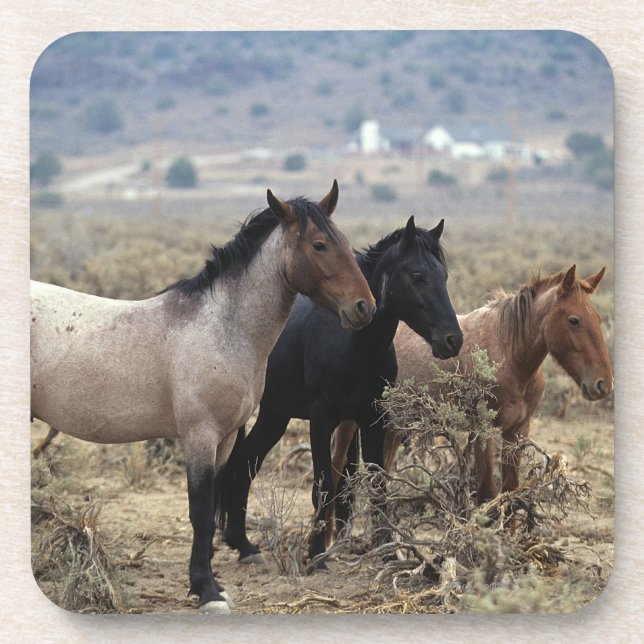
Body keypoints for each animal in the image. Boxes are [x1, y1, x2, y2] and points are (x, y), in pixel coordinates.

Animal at [30, 181, 377, 613]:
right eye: (319, 245)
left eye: (343, 241)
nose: (364, 307)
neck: (221, 329)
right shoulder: (199, 436)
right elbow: (200, 511)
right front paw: (206, 591)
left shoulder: (226, 438)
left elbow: (214, 507)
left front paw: (212, 582)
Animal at [215, 216, 463, 568]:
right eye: (418, 276)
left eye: (444, 276)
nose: (452, 340)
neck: (351, 346)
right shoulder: (321, 421)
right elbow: (324, 484)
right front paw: (317, 552)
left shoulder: (372, 420)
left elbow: (376, 483)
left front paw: (386, 549)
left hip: (275, 415)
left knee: (246, 462)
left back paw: (244, 545)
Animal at [331, 264, 613, 516]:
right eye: (574, 320)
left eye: (598, 319)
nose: (603, 384)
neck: (509, 354)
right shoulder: (482, 429)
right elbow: (488, 493)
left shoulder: (517, 432)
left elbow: (511, 493)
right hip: (350, 424)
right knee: (336, 470)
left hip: (393, 426)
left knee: (382, 478)